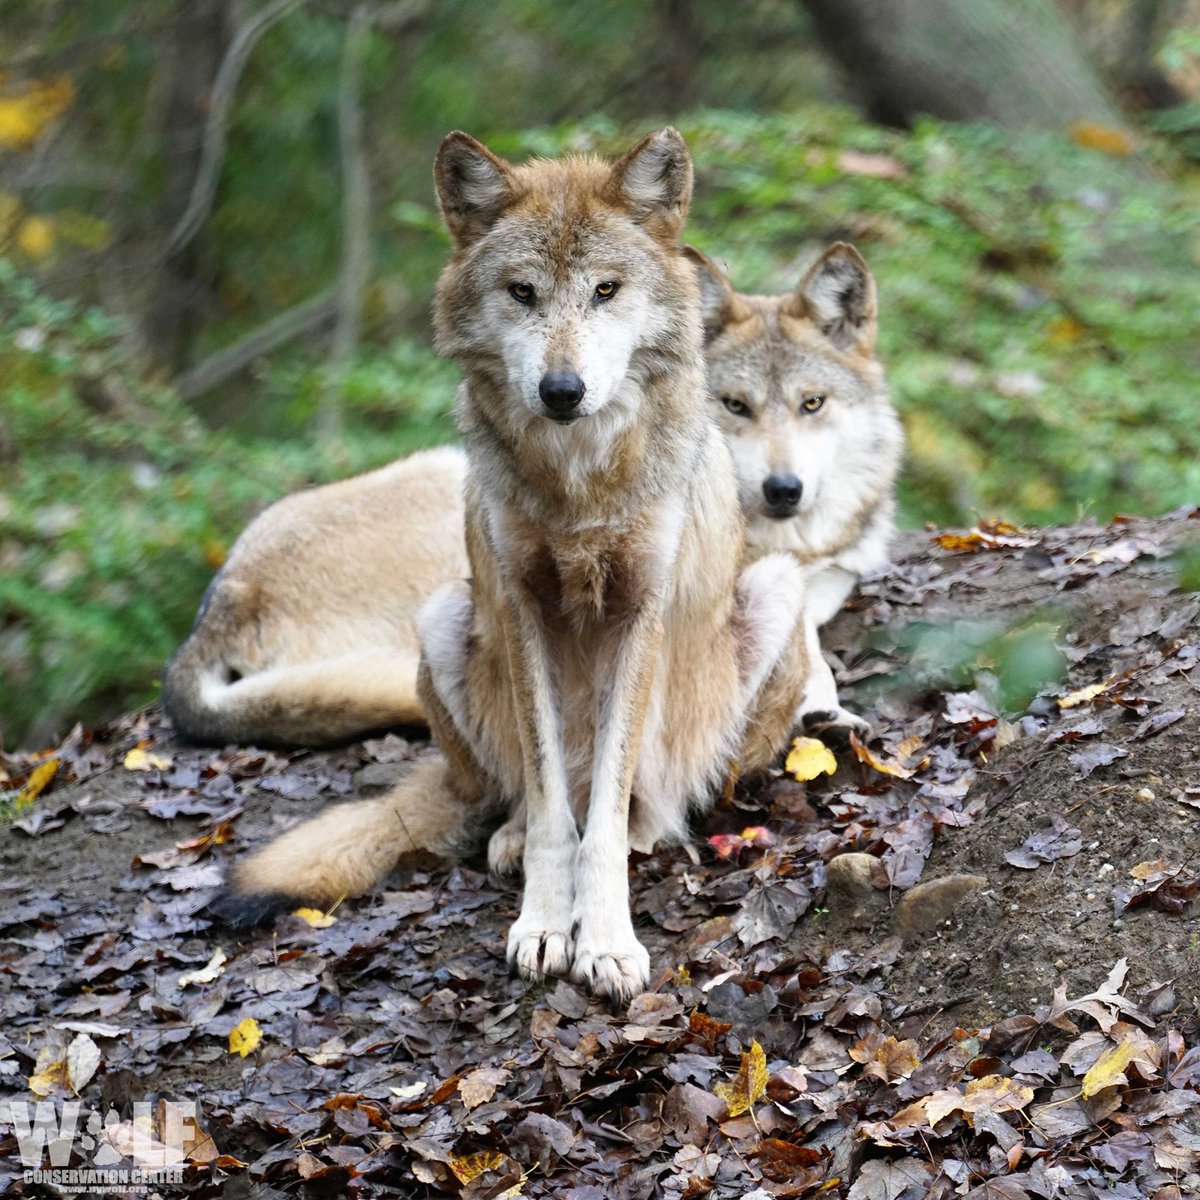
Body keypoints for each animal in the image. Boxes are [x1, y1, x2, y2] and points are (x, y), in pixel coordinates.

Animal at [217, 128, 812, 1004]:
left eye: (604, 291)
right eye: (523, 293)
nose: (562, 389)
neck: (579, 483)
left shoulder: (639, 613)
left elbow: (601, 820)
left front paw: (605, 942)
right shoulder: (524, 607)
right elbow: (552, 810)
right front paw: (544, 925)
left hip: (772, 594)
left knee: (647, 798)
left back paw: (649, 830)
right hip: (443, 615)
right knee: (517, 797)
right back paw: (506, 834)